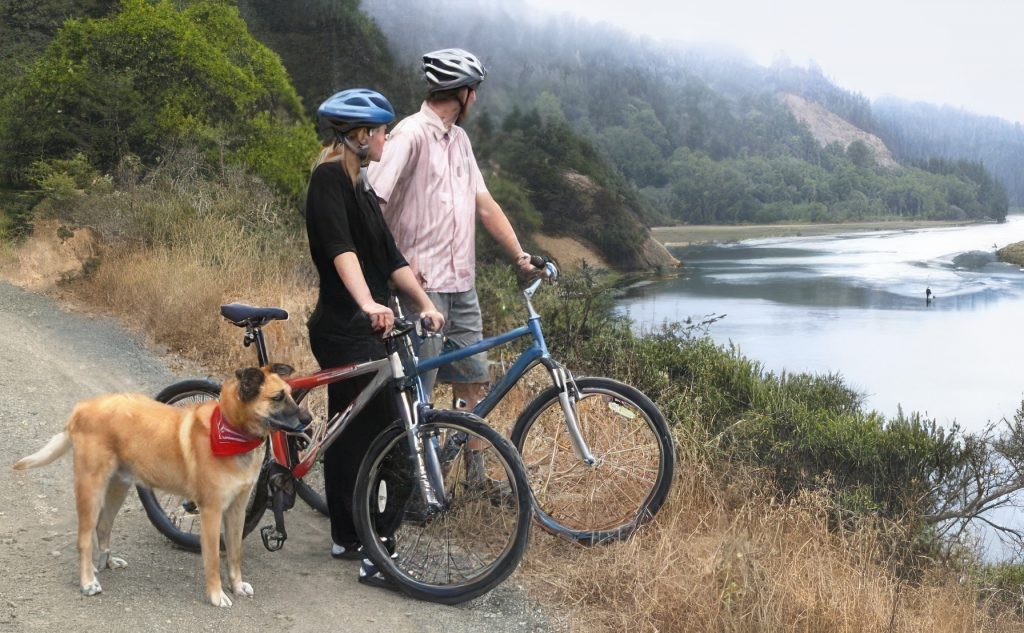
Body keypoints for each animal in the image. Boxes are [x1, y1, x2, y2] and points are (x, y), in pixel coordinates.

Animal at [12, 362, 307, 602]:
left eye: (290, 393)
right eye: (278, 397)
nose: (309, 419)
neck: (234, 431)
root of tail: (81, 408)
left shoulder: (236, 509)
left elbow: (235, 553)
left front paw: (236, 585)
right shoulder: (211, 511)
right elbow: (213, 559)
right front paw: (216, 595)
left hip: (118, 488)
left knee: (103, 526)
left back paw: (106, 563)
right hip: (91, 489)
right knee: (84, 537)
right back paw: (87, 582)